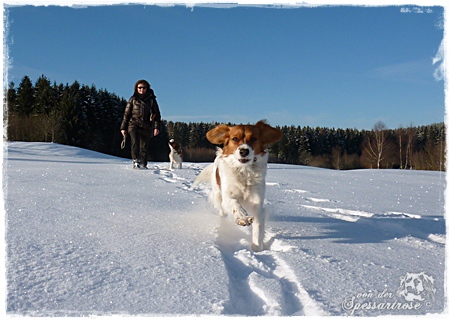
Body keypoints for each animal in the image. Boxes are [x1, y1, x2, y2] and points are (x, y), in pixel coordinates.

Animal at [192, 120, 282, 252]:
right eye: (234, 138)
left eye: (253, 138)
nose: (244, 151)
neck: (244, 171)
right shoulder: (227, 195)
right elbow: (234, 204)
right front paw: (243, 217)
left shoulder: (257, 202)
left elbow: (258, 227)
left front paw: (257, 248)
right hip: (218, 193)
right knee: (222, 208)